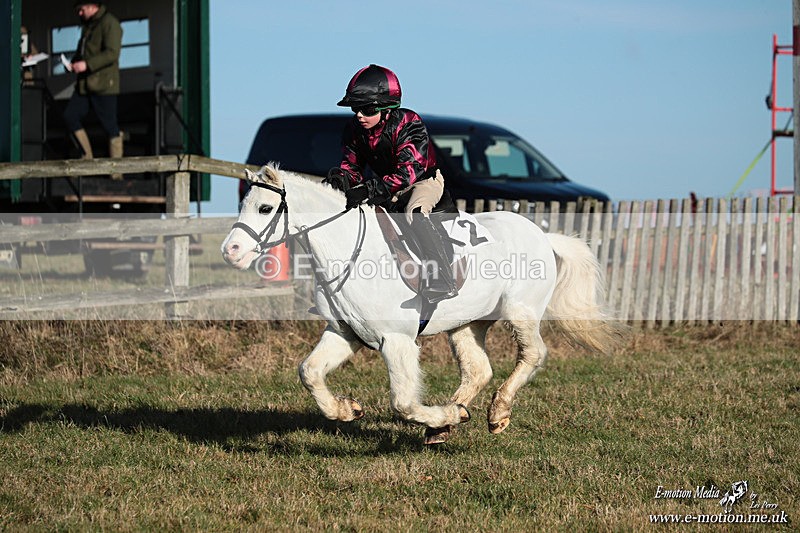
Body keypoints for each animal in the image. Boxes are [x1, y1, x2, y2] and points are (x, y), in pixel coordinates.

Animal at [221, 164, 619, 444]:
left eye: (265, 207)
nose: (231, 251)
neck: (347, 249)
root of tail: (543, 235)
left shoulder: (397, 341)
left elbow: (403, 403)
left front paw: (449, 416)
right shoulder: (344, 333)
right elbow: (310, 372)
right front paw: (347, 410)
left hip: (521, 313)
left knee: (533, 354)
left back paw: (495, 413)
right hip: (468, 323)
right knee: (478, 369)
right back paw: (445, 424)